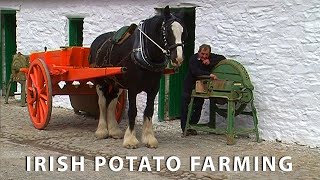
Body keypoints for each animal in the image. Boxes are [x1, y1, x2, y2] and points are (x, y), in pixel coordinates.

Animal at [89, 6, 186, 148]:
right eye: (167, 31)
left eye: (183, 32)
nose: (178, 58)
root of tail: (98, 40)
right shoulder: (132, 88)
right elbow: (133, 111)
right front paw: (130, 139)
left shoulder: (153, 89)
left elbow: (149, 110)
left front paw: (149, 138)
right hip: (101, 81)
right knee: (102, 102)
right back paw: (101, 130)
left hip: (117, 83)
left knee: (112, 102)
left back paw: (114, 130)